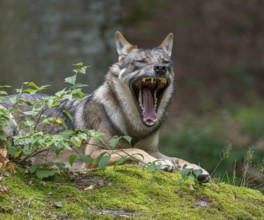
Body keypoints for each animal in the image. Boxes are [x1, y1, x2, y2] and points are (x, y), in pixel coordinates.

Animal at [0, 31, 210, 182]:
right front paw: (159, 163)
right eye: (141, 62)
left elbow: (176, 158)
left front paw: (195, 168)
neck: (134, 126)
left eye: (166, 63)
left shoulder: (153, 148)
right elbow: (134, 152)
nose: (161, 68)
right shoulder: (95, 154)